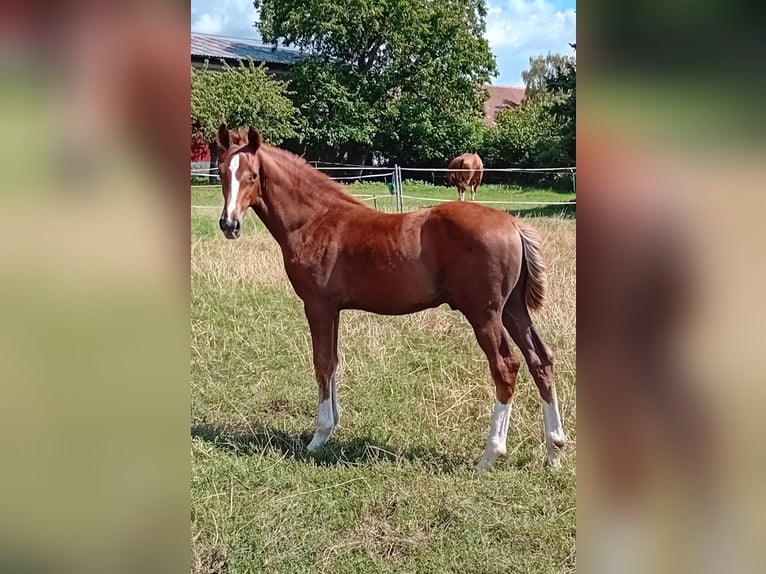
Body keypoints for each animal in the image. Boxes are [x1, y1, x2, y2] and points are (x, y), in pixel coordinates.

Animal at [216, 124, 566, 469]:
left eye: (252, 176)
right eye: (221, 172)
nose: (229, 224)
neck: (315, 221)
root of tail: (513, 223)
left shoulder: (318, 305)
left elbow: (322, 363)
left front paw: (319, 437)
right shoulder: (334, 309)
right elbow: (334, 362)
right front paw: (332, 427)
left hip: (485, 313)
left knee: (506, 367)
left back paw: (491, 454)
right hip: (513, 309)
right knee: (540, 360)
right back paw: (554, 449)